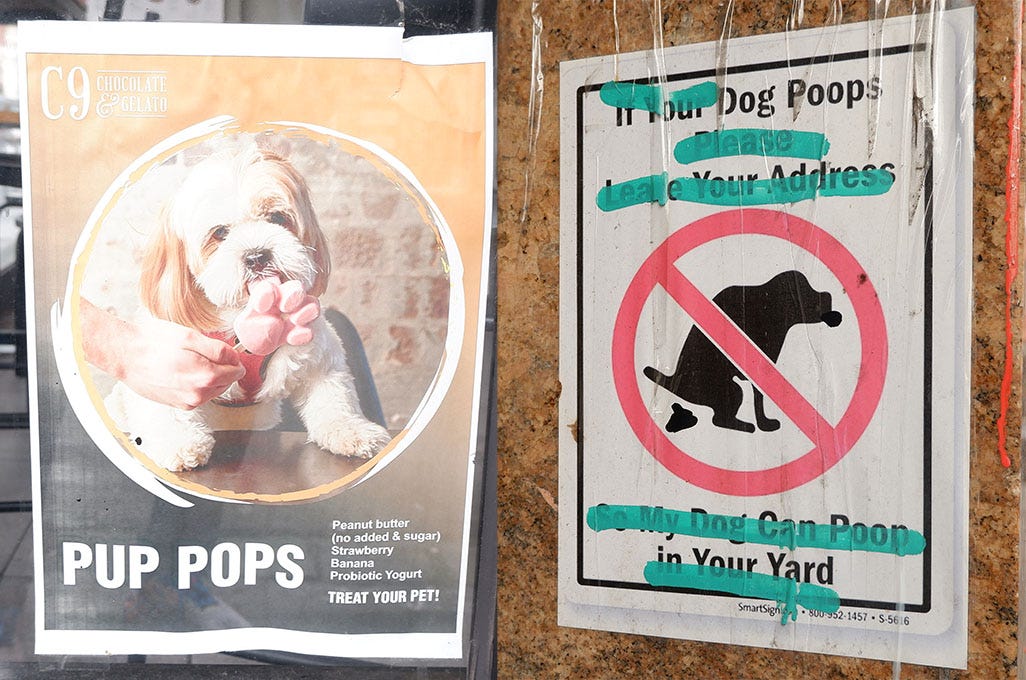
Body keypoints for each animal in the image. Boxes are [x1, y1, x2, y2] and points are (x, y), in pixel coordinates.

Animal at [104, 142, 391, 473]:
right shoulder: (166, 366)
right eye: (219, 233)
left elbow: (333, 398)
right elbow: (165, 406)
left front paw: (352, 430)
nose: (256, 256)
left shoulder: (319, 356)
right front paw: (179, 443)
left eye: (278, 217)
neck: (248, 317)